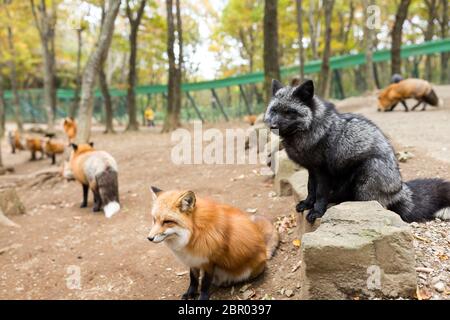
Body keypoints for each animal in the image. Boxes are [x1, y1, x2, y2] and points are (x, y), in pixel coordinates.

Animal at [148, 188, 280, 300]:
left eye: (167, 221)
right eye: (154, 220)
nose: (149, 238)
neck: (194, 234)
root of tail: (264, 249)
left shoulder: (209, 262)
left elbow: (205, 284)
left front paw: (202, 297)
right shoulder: (193, 259)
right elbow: (193, 279)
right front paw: (190, 293)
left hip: (248, 271)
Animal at [264, 79, 450, 224]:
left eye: (289, 112)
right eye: (274, 110)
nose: (272, 126)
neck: (312, 128)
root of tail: (399, 189)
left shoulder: (322, 171)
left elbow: (320, 193)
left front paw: (317, 211)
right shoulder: (312, 169)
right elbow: (311, 189)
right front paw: (308, 204)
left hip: (367, 175)